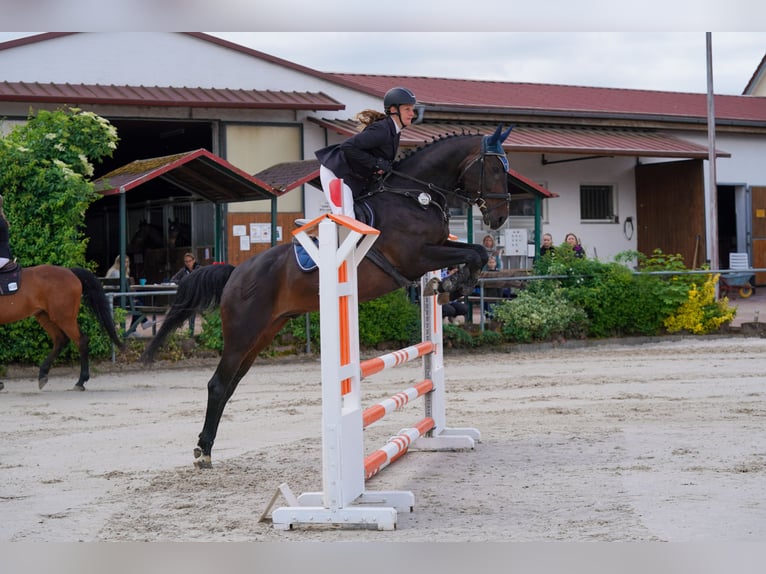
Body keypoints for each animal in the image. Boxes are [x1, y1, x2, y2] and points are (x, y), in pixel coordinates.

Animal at [144, 125, 516, 468]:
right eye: (495, 169)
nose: (500, 218)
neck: (414, 195)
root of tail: (235, 272)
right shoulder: (417, 257)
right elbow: (476, 253)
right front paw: (452, 286)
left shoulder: (435, 248)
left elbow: (475, 252)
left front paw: (450, 286)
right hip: (242, 333)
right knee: (218, 384)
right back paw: (203, 452)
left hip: (264, 333)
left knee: (232, 383)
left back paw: (205, 446)